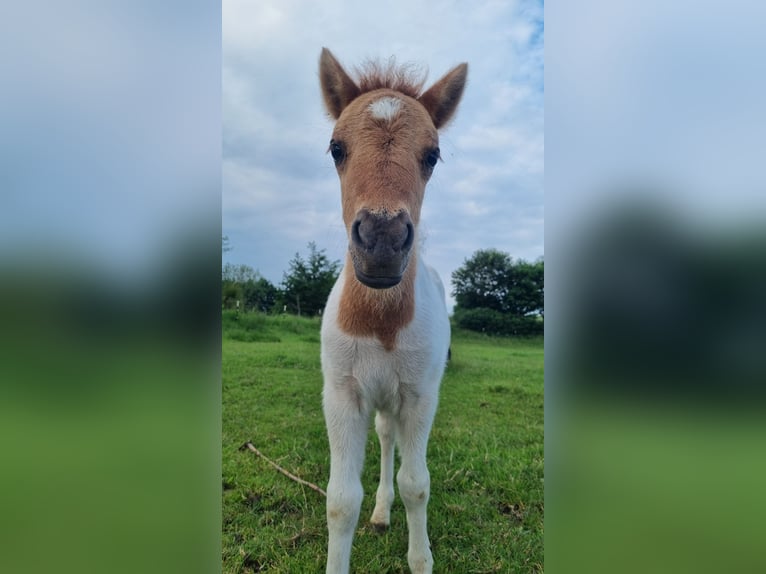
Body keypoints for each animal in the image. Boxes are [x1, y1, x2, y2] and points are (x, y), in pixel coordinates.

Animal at [318, 49, 468, 574]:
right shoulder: (342, 396)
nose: (382, 242)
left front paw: (421, 559)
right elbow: (341, 500)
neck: (381, 324)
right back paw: (381, 514)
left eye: (432, 155)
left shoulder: (420, 397)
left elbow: (416, 485)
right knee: (384, 440)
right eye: (336, 148)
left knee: (392, 445)